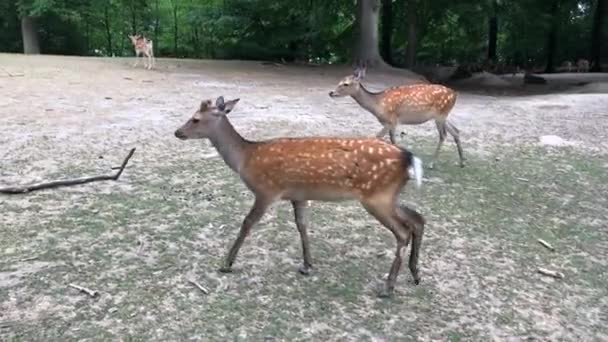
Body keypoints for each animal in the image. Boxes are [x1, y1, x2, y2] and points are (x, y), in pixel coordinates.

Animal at [173, 95, 426, 296]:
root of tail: (408, 158)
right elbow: (302, 225)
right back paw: (415, 274)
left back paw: (388, 287)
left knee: (403, 231)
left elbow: (247, 223)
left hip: (377, 197)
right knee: (417, 219)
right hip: (387, 196)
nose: (177, 132)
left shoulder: (266, 191)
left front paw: (226, 263)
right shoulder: (298, 195)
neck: (246, 159)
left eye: (195, 118)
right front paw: (307, 265)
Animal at [330, 66, 464, 169]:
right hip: (444, 115)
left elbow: (379, 137)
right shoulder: (392, 122)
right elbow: (392, 139)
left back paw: (432, 163)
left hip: (440, 115)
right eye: (340, 80)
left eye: (345, 84)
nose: (331, 93)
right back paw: (462, 162)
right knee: (456, 131)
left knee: (443, 135)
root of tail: (455, 94)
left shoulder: (391, 120)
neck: (377, 105)